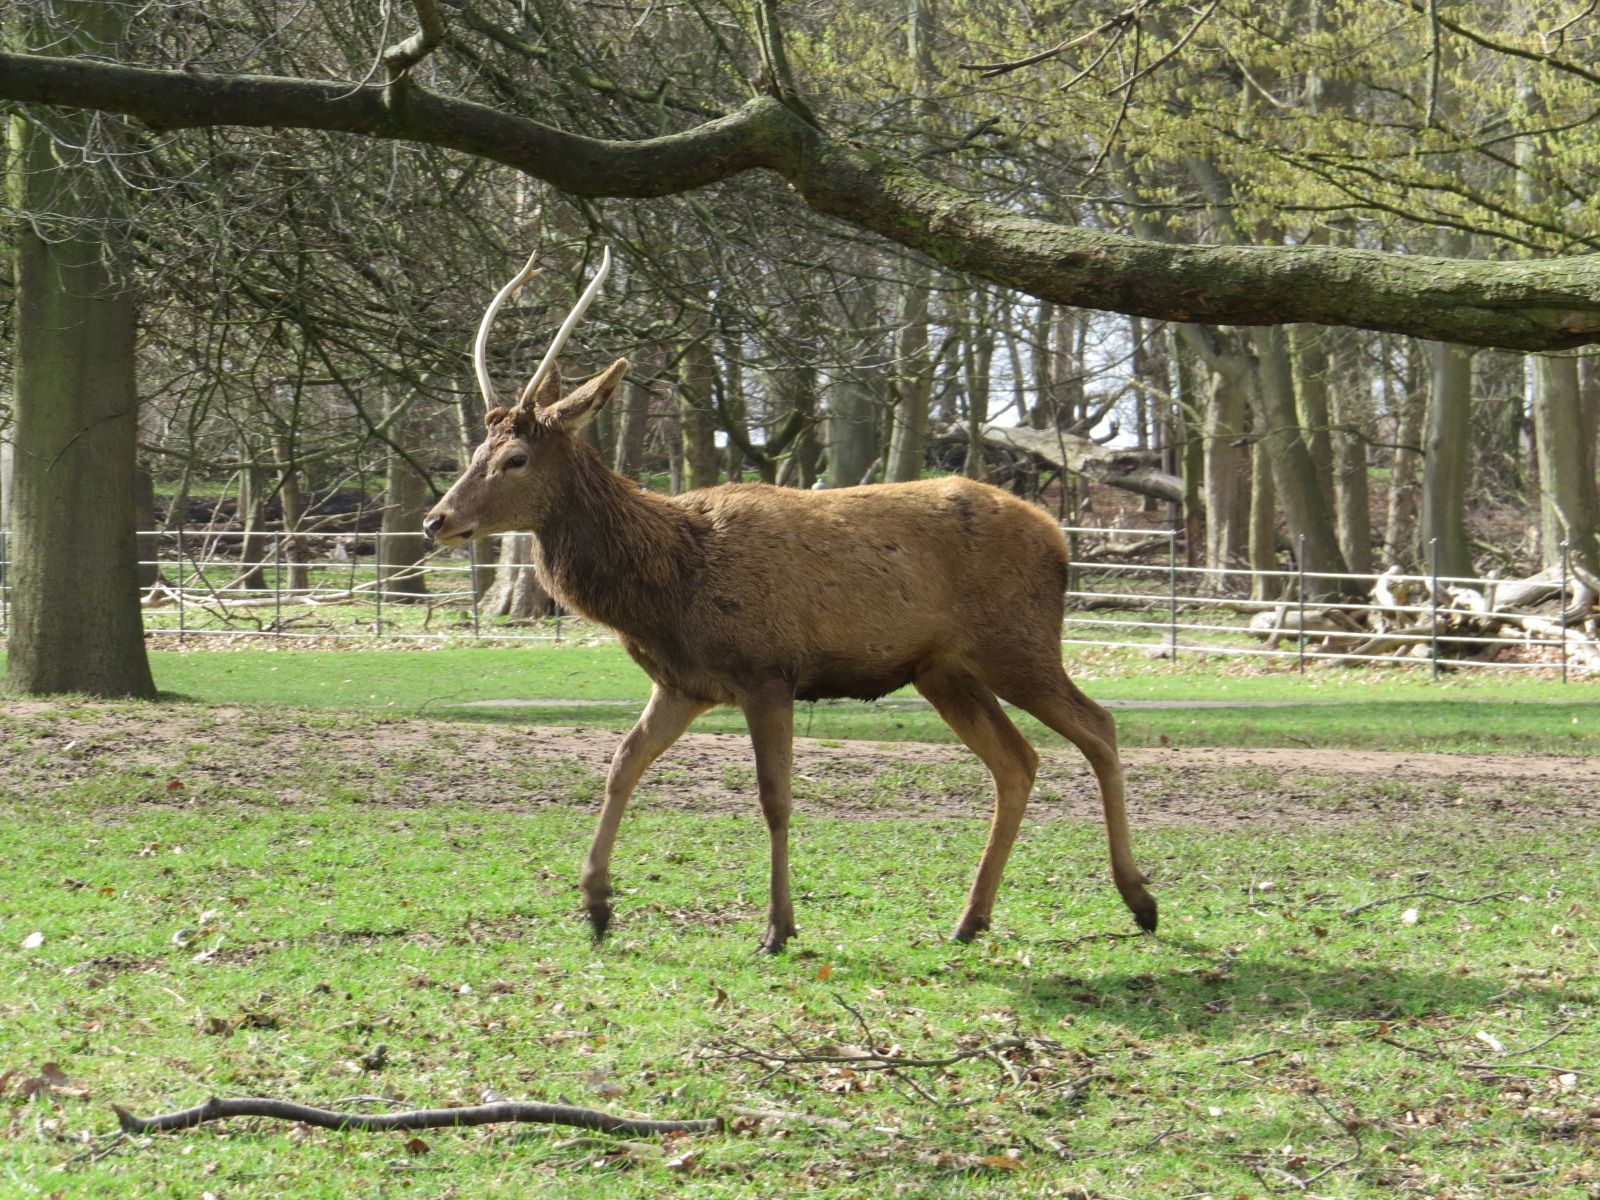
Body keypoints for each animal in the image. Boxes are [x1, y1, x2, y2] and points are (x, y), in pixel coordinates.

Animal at [424, 249, 1157, 954]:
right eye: (477, 448)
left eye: (516, 458)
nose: (437, 519)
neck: (668, 584)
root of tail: (1059, 537)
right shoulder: (684, 684)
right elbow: (621, 764)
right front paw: (598, 907)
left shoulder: (768, 671)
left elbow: (774, 797)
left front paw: (777, 927)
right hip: (944, 671)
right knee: (1017, 761)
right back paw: (971, 918)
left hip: (1019, 644)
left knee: (1099, 726)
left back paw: (1138, 899)